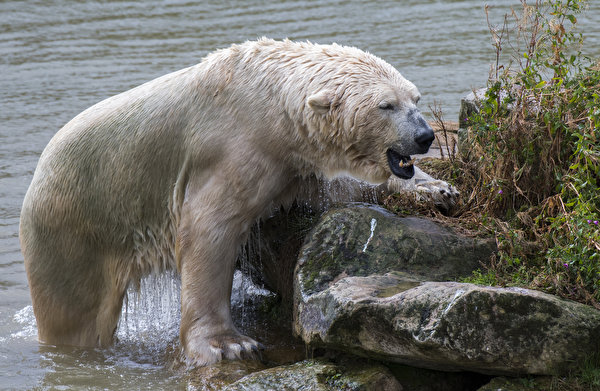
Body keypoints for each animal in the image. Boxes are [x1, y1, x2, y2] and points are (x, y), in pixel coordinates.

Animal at [21, 38, 458, 366]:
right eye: (386, 105)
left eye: (415, 98)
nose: (425, 136)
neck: (270, 100)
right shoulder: (232, 146)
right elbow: (207, 231)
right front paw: (229, 344)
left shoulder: (293, 160)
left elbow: (340, 187)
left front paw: (437, 189)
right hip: (74, 230)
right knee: (73, 314)